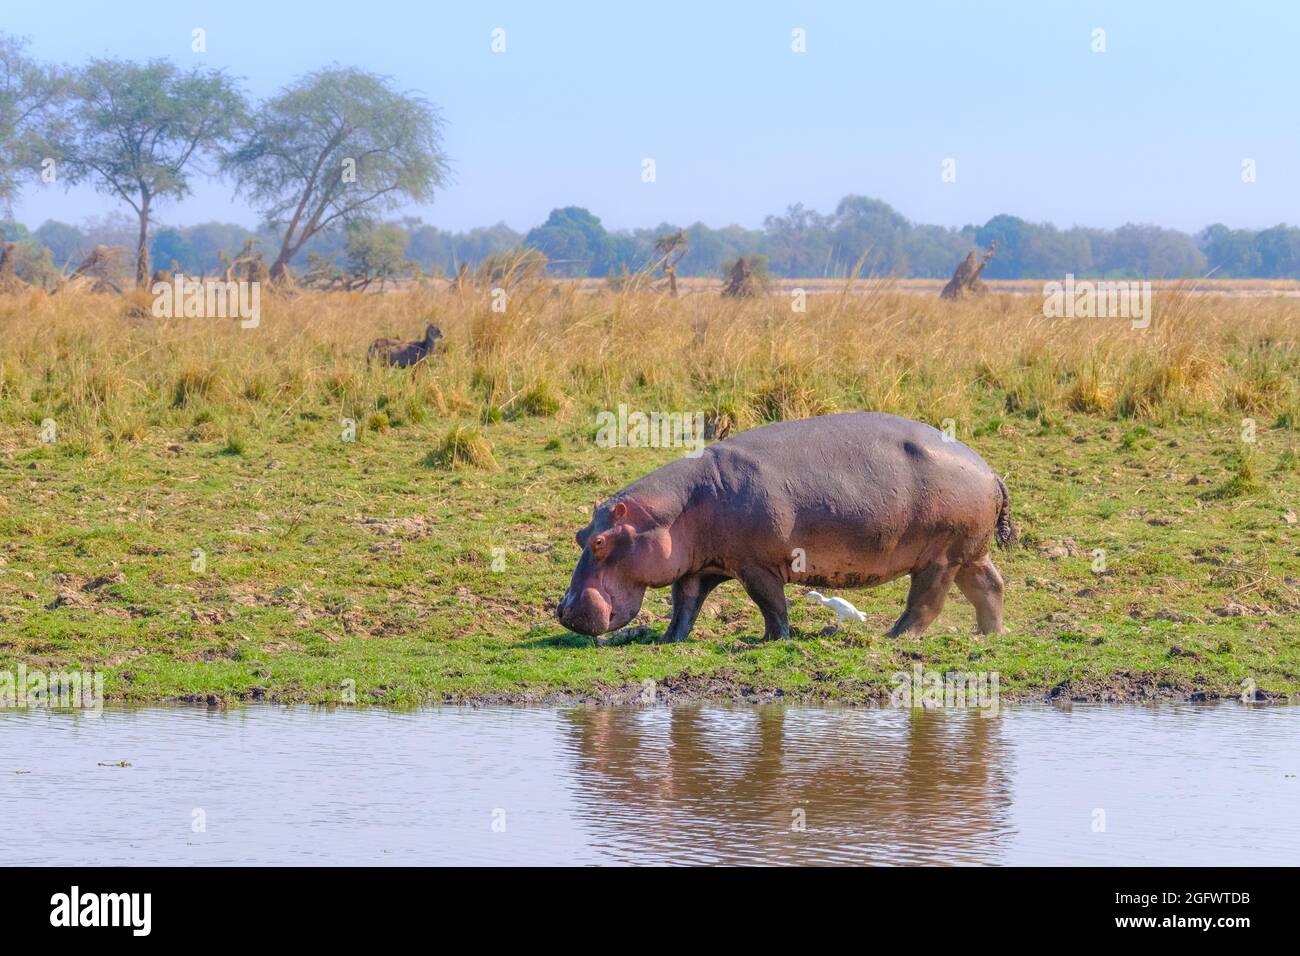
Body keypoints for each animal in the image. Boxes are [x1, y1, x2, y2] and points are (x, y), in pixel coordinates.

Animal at [556, 412, 1015, 642]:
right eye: (580, 536)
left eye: (599, 542)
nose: (563, 611)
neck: (674, 509)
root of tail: (990, 471)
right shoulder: (697, 567)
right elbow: (684, 605)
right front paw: (669, 640)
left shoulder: (756, 565)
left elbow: (771, 604)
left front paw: (770, 641)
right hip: (970, 553)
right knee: (989, 586)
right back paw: (988, 634)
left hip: (940, 557)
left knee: (925, 602)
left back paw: (895, 637)